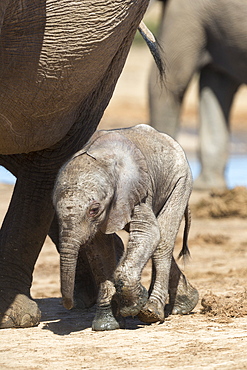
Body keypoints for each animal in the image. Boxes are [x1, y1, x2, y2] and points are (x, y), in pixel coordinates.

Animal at [53, 123, 199, 330]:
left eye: (94, 210)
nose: (69, 305)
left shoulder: (135, 190)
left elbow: (148, 233)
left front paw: (133, 306)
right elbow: (99, 250)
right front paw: (107, 325)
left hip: (181, 181)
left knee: (162, 242)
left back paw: (152, 312)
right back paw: (185, 303)